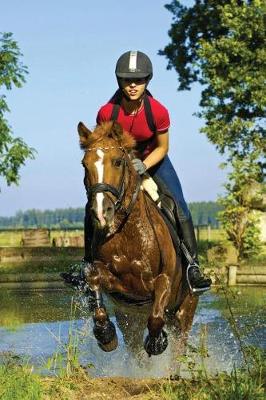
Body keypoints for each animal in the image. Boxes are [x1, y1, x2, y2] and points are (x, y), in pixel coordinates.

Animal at [77, 119, 197, 356]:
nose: (101, 212)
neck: (127, 233)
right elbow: (94, 280)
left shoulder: (164, 280)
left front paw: (157, 342)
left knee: (178, 349)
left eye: (117, 162)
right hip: (129, 320)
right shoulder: (119, 288)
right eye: (84, 164)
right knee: (135, 349)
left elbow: (156, 317)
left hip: (184, 313)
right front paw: (105, 334)